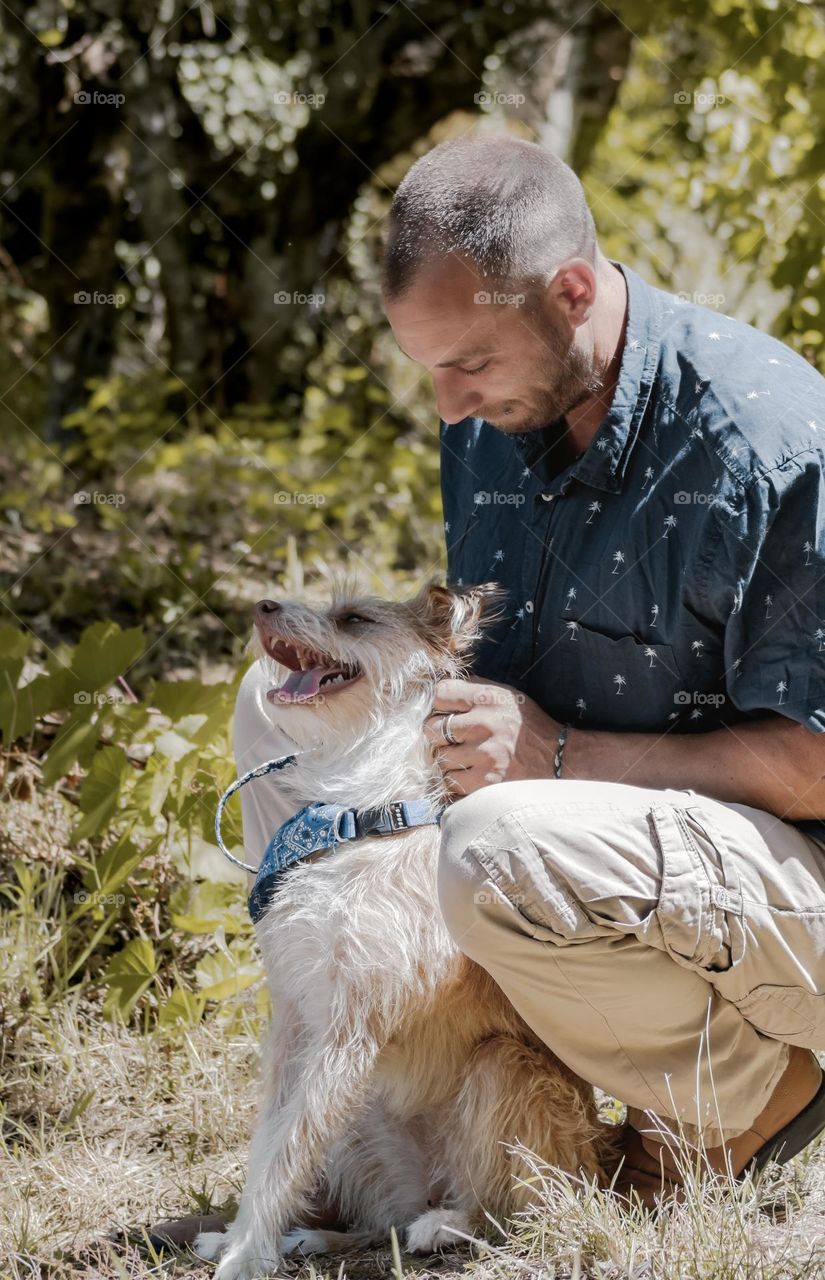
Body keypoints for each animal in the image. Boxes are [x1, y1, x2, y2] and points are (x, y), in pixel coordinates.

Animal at [193, 583, 603, 1280]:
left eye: (355, 619)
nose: (262, 606)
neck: (362, 813)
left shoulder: (350, 1024)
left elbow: (285, 1153)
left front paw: (245, 1257)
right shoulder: (296, 1024)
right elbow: (270, 1144)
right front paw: (241, 1239)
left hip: (501, 1074)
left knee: (513, 1213)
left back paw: (448, 1224)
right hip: (363, 1121)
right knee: (382, 1219)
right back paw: (317, 1237)